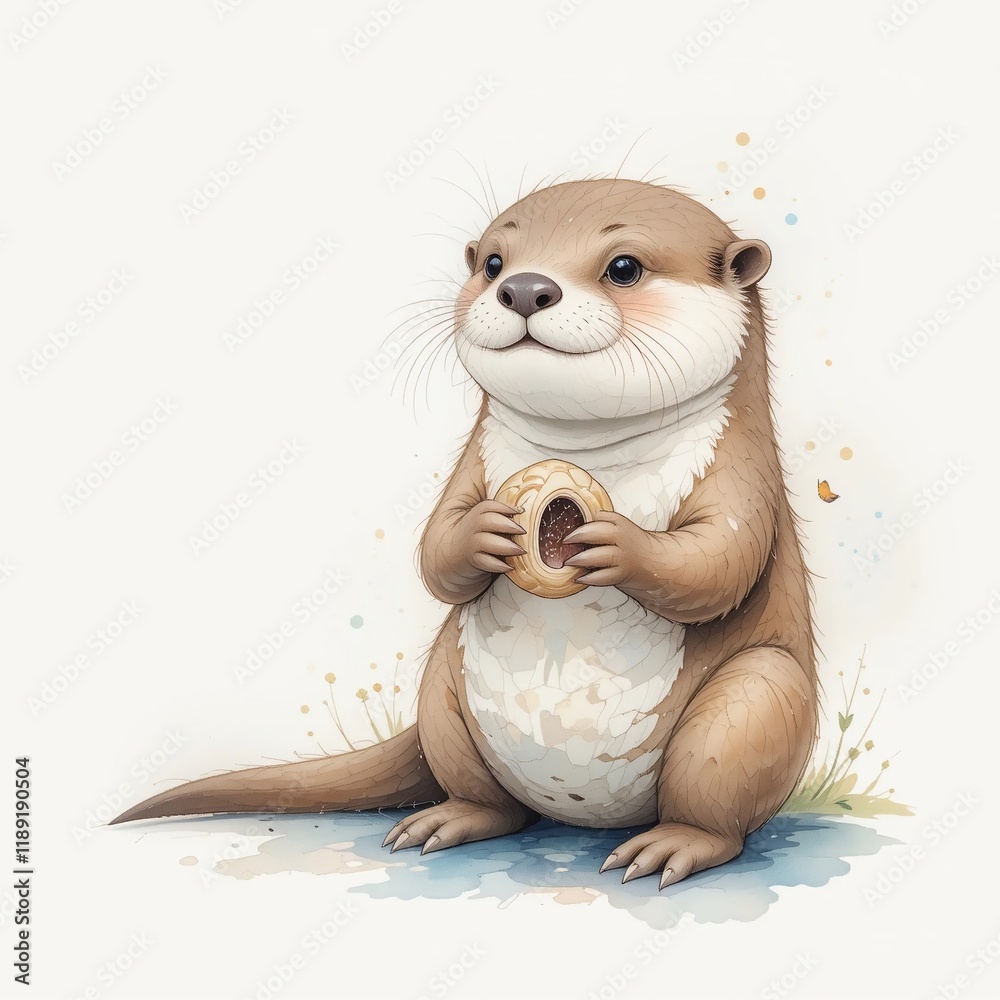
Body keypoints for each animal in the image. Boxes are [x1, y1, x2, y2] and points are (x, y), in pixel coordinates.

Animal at [113, 178, 818, 890]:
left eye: (625, 267)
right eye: (495, 263)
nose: (526, 288)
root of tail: (587, 815)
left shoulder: (744, 472)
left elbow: (720, 563)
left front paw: (621, 544)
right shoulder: (471, 465)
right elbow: (433, 550)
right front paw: (481, 533)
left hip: (755, 702)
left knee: (720, 790)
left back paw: (671, 847)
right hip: (443, 697)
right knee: (489, 798)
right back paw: (449, 820)